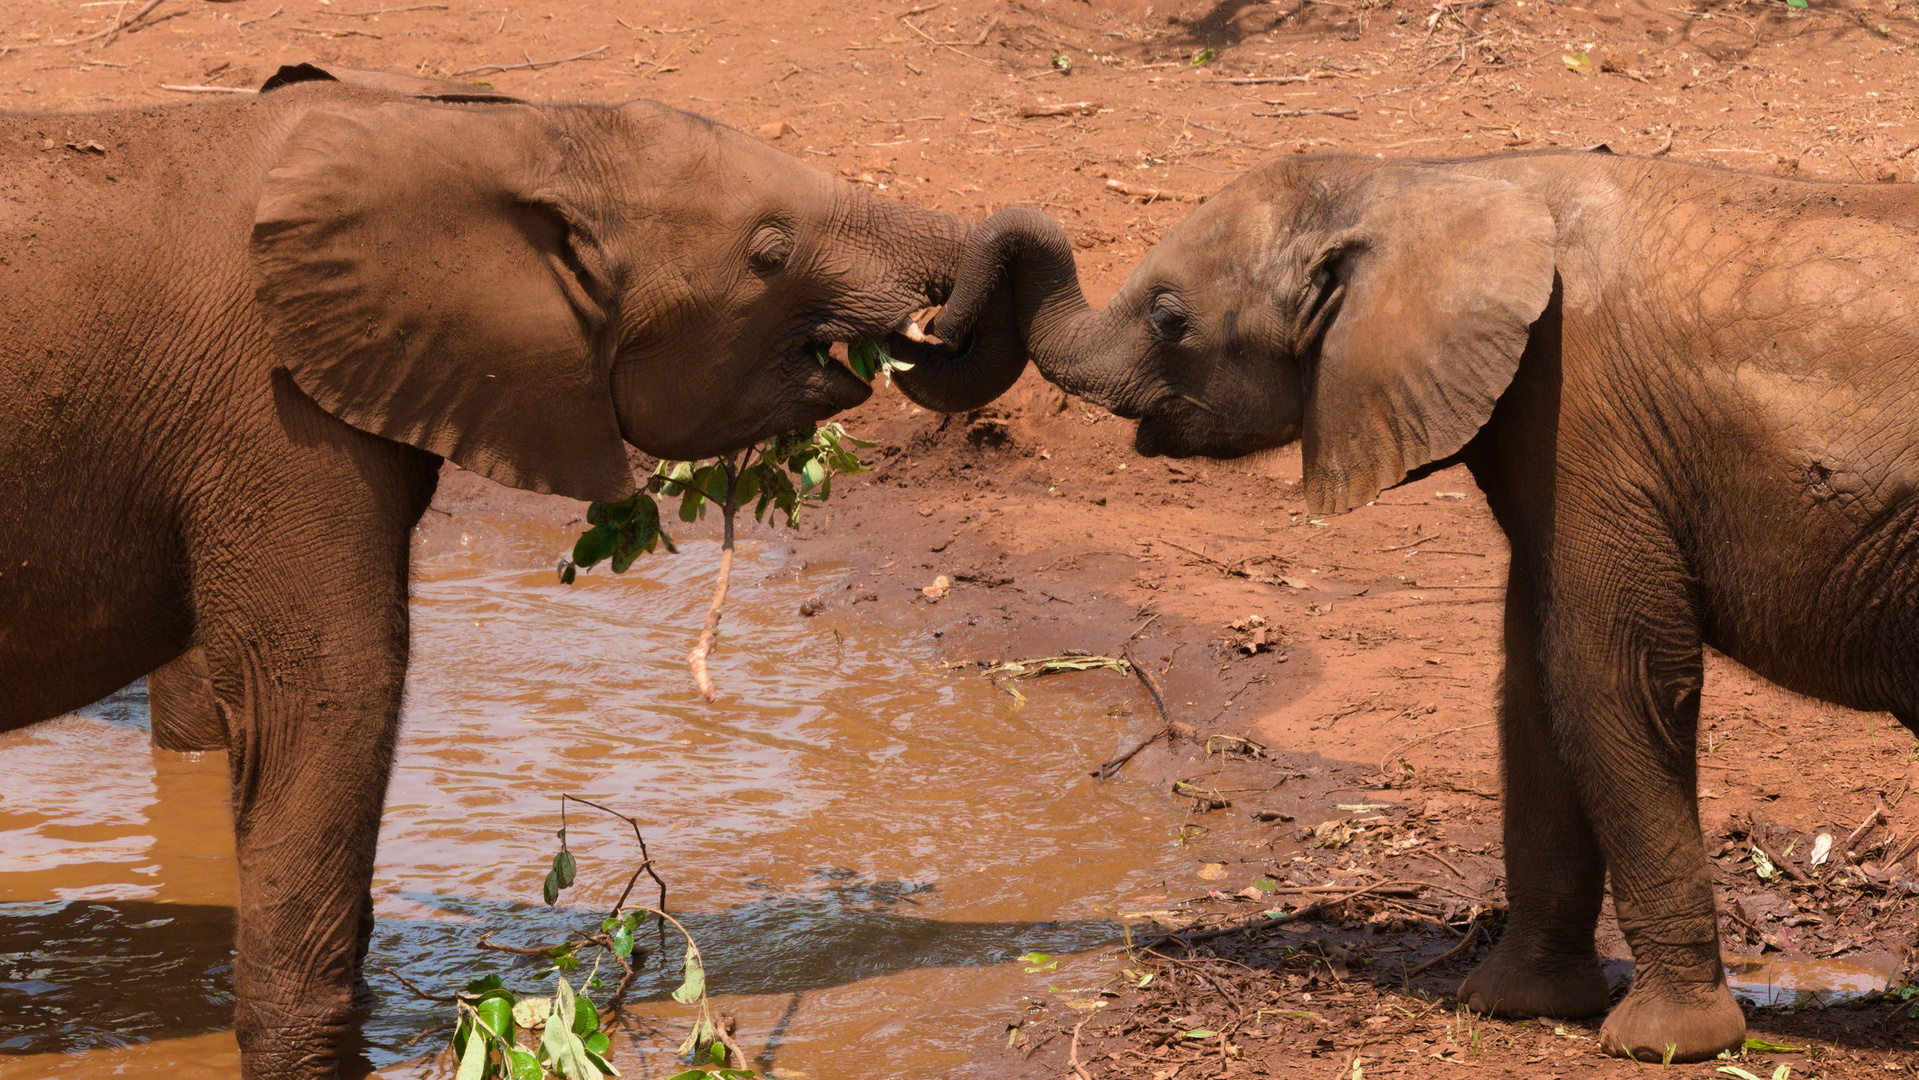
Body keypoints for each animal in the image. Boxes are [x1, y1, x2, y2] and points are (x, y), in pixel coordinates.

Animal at [936, 152, 1919, 1066]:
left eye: (1169, 319)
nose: (931, 323)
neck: (1429, 180)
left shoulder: (1584, 416)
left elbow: (1613, 675)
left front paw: (1661, 1046)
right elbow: (1534, 692)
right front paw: (1512, 1005)